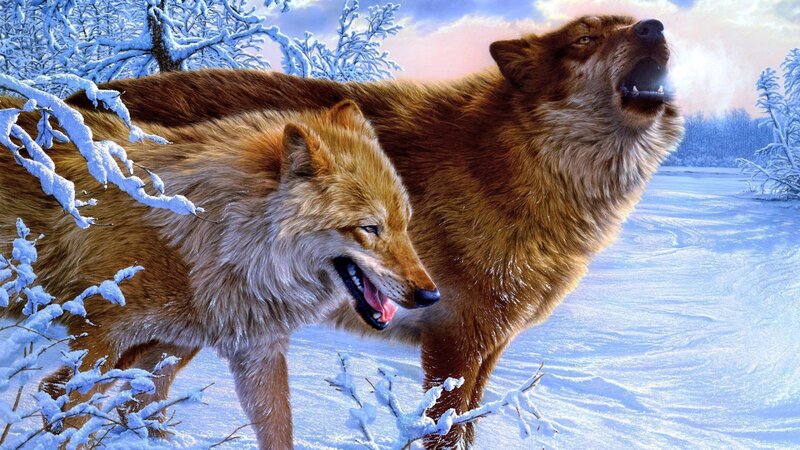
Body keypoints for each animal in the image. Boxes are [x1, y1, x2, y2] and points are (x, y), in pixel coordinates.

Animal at [0, 98, 440, 449]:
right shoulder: (99, 338)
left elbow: (271, 426)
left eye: (404, 224)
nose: (430, 295)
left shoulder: (239, 349)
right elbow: (62, 402)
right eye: (370, 228)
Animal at [67, 15, 685, 448]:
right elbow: (443, 432)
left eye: (629, 22)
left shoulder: (491, 344)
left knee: (133, 401)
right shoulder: (455, 341)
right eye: (584, 38)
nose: (655, 27)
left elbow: (468, 428)